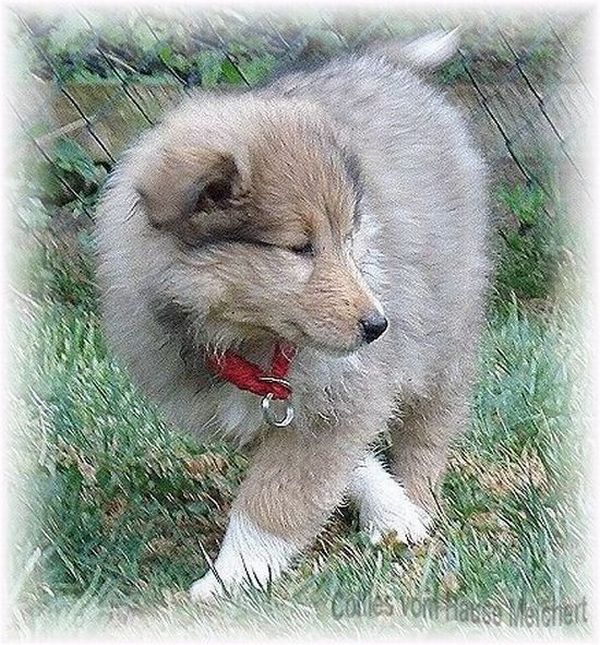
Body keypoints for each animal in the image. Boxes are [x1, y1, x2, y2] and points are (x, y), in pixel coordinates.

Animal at [95, 29, 490, 600]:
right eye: (300, 247)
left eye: (349, 237)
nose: (377, 326)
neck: (247, 337)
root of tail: (381, 63)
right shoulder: (276, 408)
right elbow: (331, 461)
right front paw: (383, 504)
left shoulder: (344, 387)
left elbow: (276, 499)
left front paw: (228, 579)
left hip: (443, 326)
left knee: (431, 424)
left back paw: (415, 502)